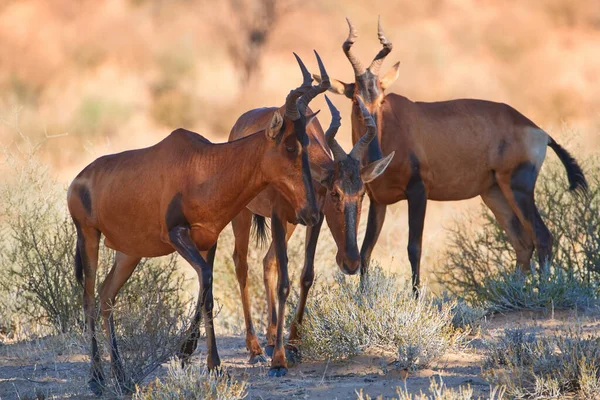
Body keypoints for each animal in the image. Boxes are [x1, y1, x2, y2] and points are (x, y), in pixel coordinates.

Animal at [67, 55, 324, 394]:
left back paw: (120, 377)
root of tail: (77, 180)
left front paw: (204, 361)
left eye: (308, 143)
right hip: (89, 237)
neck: (203, 164)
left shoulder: (208, 240)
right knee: (89, 300)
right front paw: (206, 361)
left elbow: (207, 295)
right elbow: (207, 289)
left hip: (128, 252)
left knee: (107, 297)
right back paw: (96, 379)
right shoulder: (178, 235)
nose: (311, 212)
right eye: (290, 146)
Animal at [229, 57, 394, 376]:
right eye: (334, 193)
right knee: (242, 265)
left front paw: (293, 344)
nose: (351, 262)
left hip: (292, 224)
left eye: (362, 194)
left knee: (268, 261)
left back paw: (271, 338)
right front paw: (279, 361)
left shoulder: (313, 221)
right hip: (243, 215)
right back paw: (255, 349)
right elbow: (285, 283)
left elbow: (306, 275)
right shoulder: (277, 217)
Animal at [316, 18, 588, 290]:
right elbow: (366, 252)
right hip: (495, 193)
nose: (375, 152)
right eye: (355, 100)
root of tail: (540, 131)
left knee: (543, 237)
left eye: (381, 100)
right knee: (522, 243)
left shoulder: (419, 191)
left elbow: (414, 248)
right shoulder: (377, 200)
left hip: (518, 188)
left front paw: (416, 297)